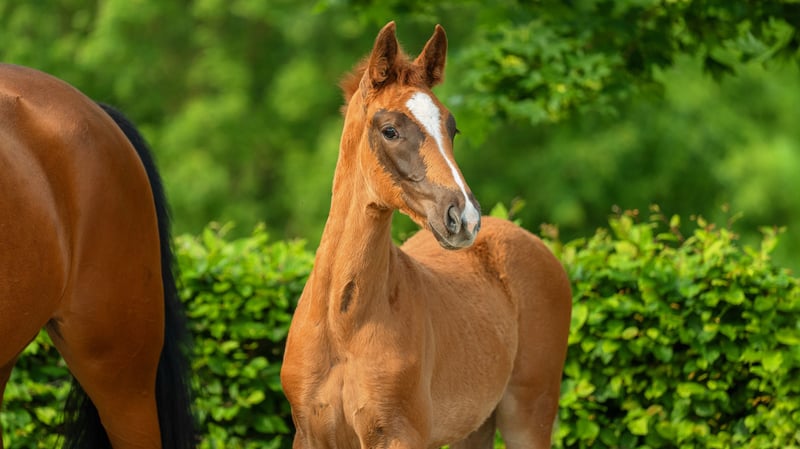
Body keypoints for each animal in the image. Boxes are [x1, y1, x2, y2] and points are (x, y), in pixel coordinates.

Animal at [280, 22, 572, 449]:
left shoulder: (401, 434)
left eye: (453, 128)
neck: (342, 324)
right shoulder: (309, 434)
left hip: (529, 415)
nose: (464, 217)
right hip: (475, 426)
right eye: (390, 130)